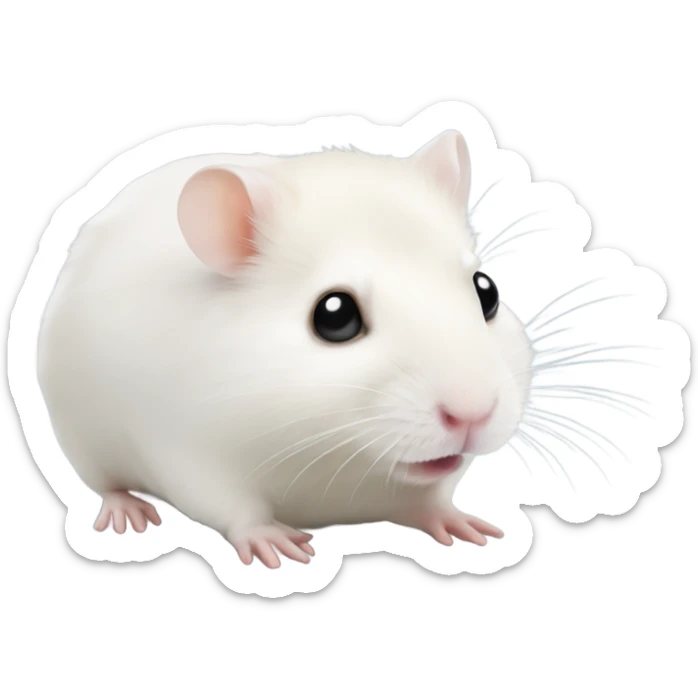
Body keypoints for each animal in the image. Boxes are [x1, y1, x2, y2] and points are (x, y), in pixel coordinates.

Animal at [37, 130, 534, 568]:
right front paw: (273, 543)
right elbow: (231, 507)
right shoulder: (185, 448)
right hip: (81, 440)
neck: (335, 459)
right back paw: (126, 509)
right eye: (335, 316)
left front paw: (459, 522)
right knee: (105, 484)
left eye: (486, 292)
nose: (472, 416)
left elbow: (431, 499)